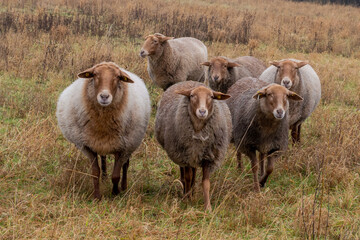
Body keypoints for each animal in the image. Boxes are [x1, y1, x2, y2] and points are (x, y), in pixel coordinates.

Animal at [56, 62, 150, 201]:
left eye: (118, 77)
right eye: (94, 75)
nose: (104, 96)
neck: (103, 123)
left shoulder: (122, 148)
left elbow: (116, 175)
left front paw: (115, 193)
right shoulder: (88, 146)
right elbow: (95, 172)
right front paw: (97, 197)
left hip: (130, 143)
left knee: (125, 165)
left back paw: (124, 187)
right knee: (104, 157)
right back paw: (105, 177)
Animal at [156, 80, 232, 210]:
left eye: (211, 96)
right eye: (192, 96)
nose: (202, 111)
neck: (198, 128)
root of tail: (189, 81)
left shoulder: (208, 157)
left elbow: (205, 183)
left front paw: (208, 207)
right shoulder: (185, 156)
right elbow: (187, 177)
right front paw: (186, 200)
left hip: (196, 156)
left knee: (194, 172)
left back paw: (192, 191)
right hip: (182, 154)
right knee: (186, 174)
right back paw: (187, 192)